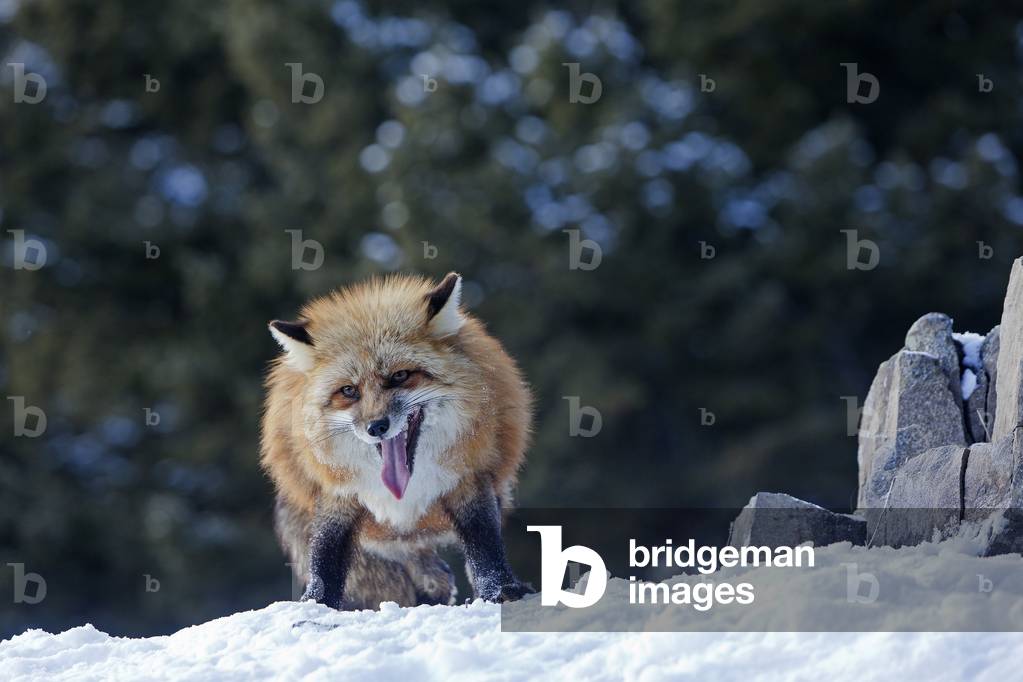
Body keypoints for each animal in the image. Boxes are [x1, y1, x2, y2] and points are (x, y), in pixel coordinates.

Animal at [261, 272, 533, 609]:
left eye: (400, 376)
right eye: (349, 391)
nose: (376, 426)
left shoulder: (469, 479)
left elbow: (484, 544)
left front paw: (499, 590)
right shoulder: (338, 494)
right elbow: (326, 555)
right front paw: (316, 603)